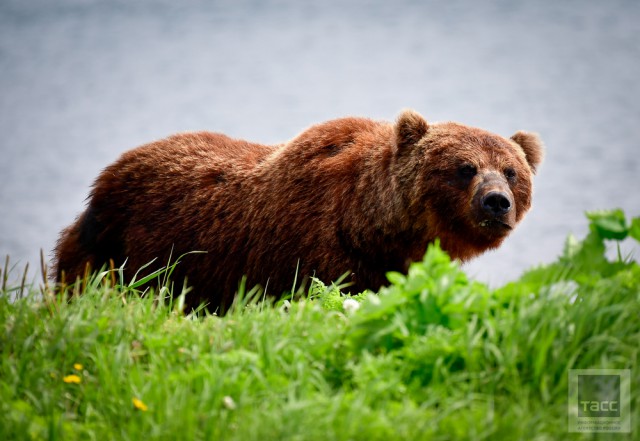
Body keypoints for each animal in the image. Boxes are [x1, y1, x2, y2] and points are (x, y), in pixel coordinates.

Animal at [56, 109, 544, 310]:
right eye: (465, 168)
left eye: (511, 171)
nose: (496, 201)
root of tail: (108, 173)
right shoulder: (310, 250)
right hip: (122, 249)